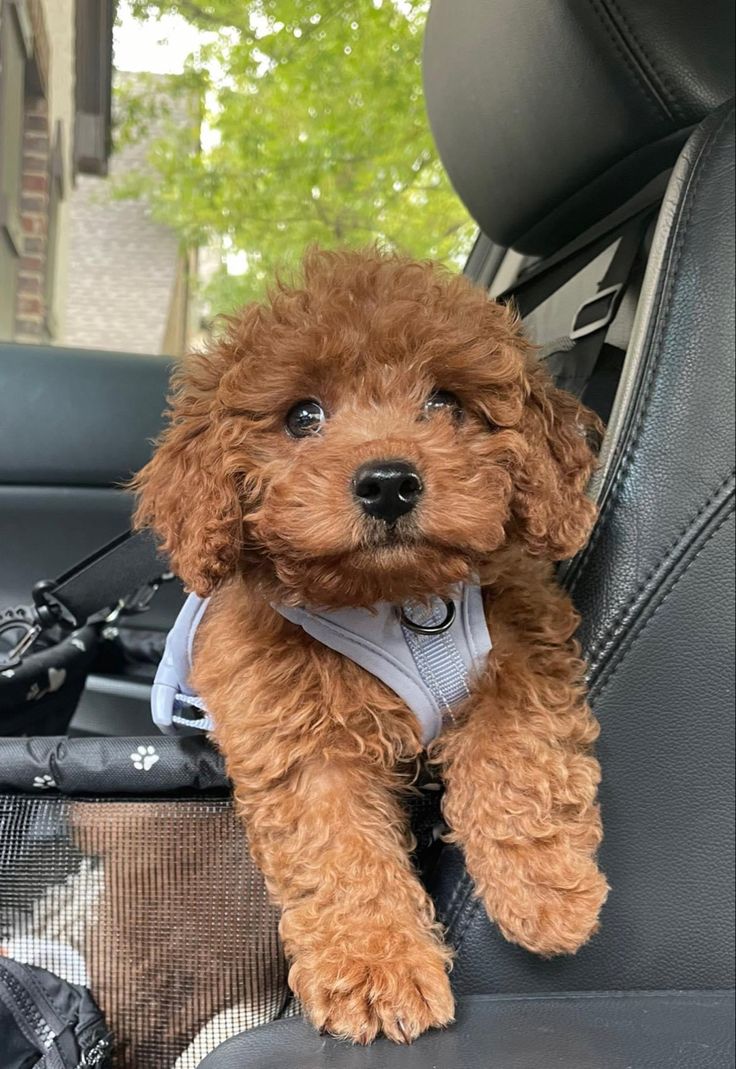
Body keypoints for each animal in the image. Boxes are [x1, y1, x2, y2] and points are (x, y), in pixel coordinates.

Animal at [133, 248, 607, 1043]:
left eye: (446, 402)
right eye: (302, 416)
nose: (388, 482)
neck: (399, 603)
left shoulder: (522, 641)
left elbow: (519, 751)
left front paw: (547, 893)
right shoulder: (296, 739)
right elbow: (340, 847)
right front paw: (376, 971)